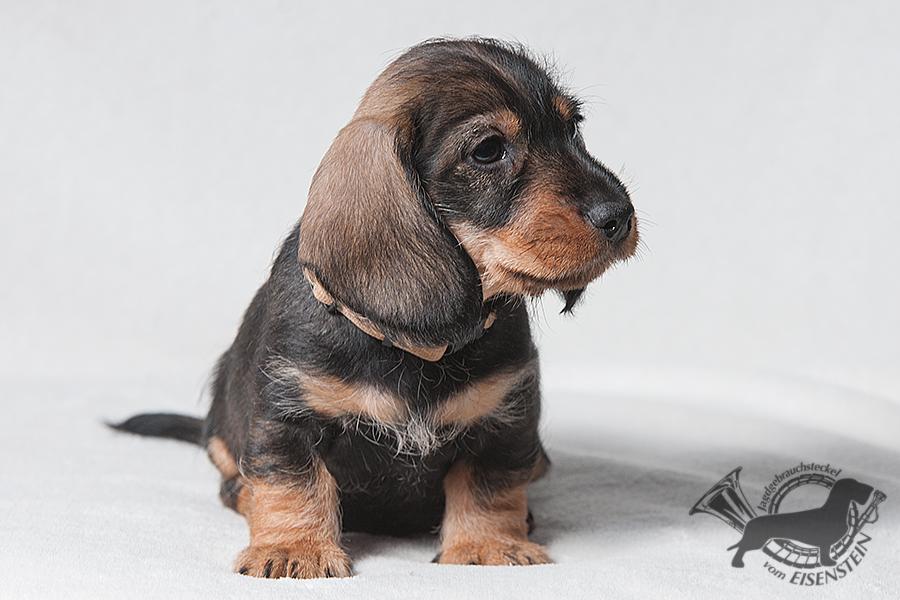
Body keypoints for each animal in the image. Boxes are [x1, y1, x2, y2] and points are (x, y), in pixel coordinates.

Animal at [113, 38, 639, 579]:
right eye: (488, 150)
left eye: (573, 127)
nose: (620, 216)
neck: (418, 343)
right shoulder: (287, 418)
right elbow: (293, 484)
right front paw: (294, 548)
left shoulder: (505, 421)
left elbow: (489, 488)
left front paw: (488, 545)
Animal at [728, 478, 874, 568]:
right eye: (854, 484)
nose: (871, 488)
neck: (834, 511)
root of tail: (750, 522)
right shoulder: (825, 544)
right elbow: (825, 555)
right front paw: (828, 563)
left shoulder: (825, 544)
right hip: (757, 541)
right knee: (741, 548)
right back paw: (737, 563)